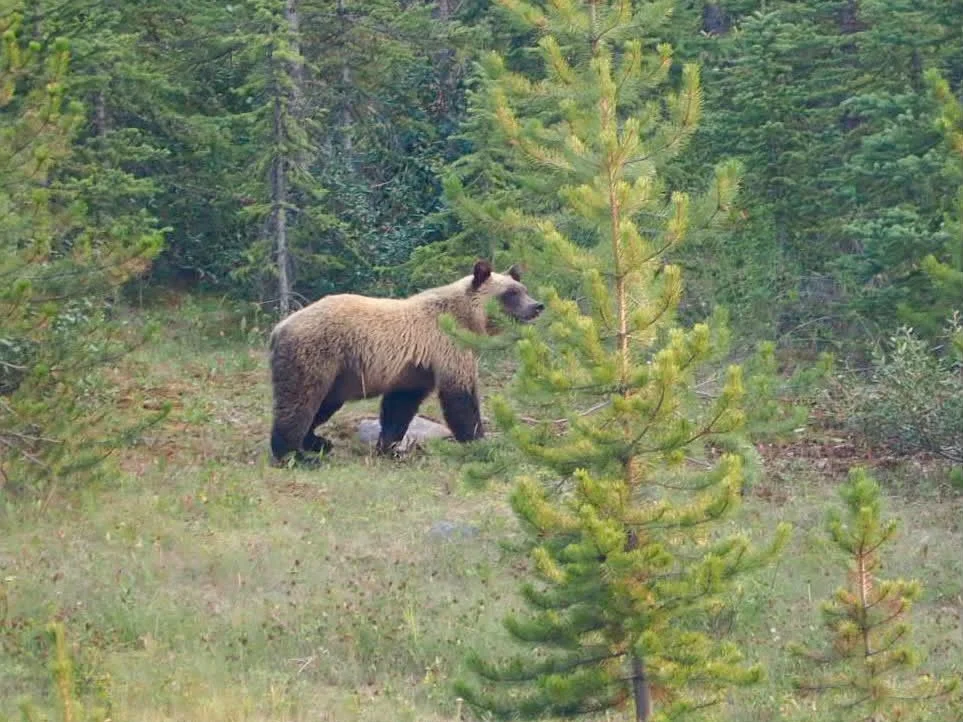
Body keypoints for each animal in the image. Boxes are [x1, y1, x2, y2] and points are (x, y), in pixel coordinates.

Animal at [268, 260, 543, 463]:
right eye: (511, 293)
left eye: (524, 290)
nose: (537, 306)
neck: (469, 320)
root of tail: (279, 328)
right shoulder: (447, 347)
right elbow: (460, 399)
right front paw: (481, 443)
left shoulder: (414, 370)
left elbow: (399, 406)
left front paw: (389, 447)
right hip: (317, 354)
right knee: (300, 401)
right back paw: (294, 455)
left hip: (338, 375)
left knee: (323, 404)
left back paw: (317, 442)